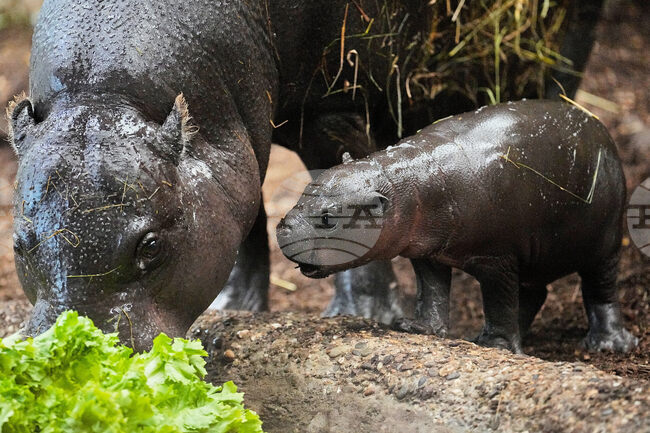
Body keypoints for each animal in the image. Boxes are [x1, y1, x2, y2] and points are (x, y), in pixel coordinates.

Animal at [8, 0, 602, 349]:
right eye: (18, 244)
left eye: (151, 243)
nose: (80, 347)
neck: (106, 95)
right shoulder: (239, 132)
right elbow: (246, 212)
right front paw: (236, 308)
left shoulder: (330, 103)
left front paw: (366, 314)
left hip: (566, 43)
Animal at [277, 100, 638, 353]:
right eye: (304, 192)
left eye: (328, 218)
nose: (283, 227)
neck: (408, 184)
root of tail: (600, 127)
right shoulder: (427, 253)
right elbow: (431, 292)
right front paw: (417, 327)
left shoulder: (497, 258)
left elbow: (498, 301)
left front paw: (495, 346)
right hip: (536, 254)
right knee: (534, 294)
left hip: (604, 243)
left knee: (600, 290)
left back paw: (608, 345)